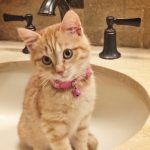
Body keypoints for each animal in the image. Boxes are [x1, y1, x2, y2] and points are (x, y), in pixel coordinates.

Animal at [17, 9, 98, 149]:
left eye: (67, 53)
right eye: (46, 60)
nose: (60, 71)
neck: (71, 89)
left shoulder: (84, 120)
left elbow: (81, 142)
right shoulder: (54, 127)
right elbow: (64, 146)